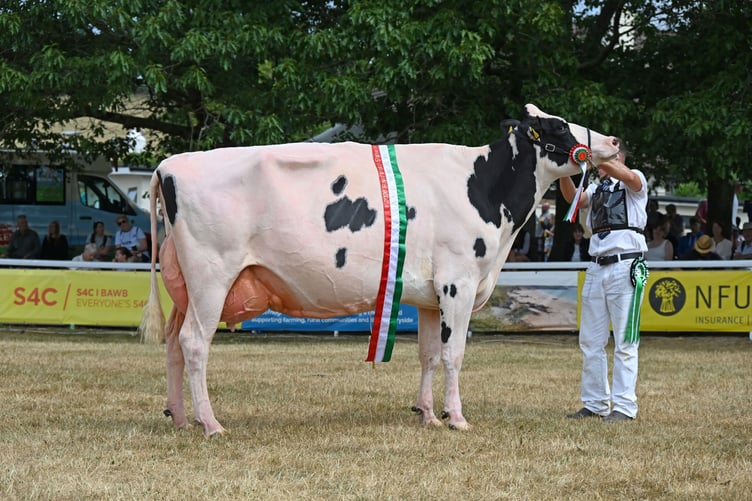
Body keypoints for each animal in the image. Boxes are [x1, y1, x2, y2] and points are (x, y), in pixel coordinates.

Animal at [140, 104, 620, 437]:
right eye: (559, 126)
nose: (614, 141)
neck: (483, 188)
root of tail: (170, 163)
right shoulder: (458, 283)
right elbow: (454, 354)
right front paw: (456, 417)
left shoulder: (429, 296)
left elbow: (429, 354)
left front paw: (428, 414)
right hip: (211, 276)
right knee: (195, 343)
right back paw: (211, 423)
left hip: (185, 284)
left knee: (173, 344)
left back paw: (179, 416)